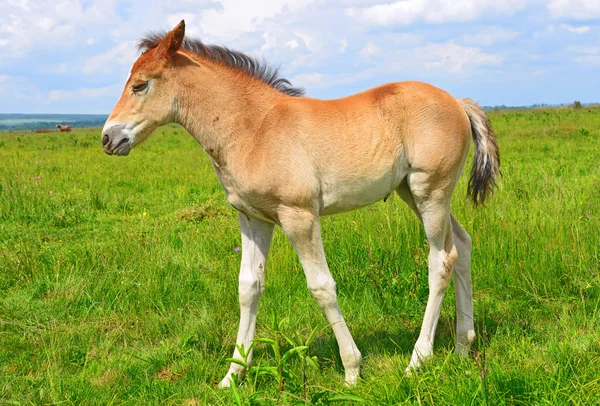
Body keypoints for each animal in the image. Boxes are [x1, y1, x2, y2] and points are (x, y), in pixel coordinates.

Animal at [104, 21, 502, 386]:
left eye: (139, 84)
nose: (108, 138)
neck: (253, 129)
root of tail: (458, 102)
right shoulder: (253, 218)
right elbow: (248, 287)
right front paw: (232, 376)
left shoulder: (299, 216)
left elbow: (321, 287)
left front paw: (352, 371)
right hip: (417, 194)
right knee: (462, 245)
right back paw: (463, 346)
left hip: (430, 191)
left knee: (441, 259)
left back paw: (418, 359)